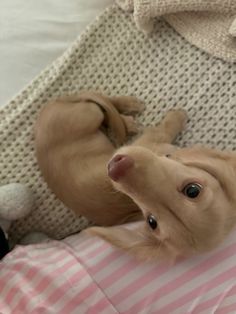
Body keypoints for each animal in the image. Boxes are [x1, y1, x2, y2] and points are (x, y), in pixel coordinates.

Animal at [35, 91, 236, 262]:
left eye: (152, 222)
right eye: (192, 190)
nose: (116, 169)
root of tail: (48, 109)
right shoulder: (150, 140)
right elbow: (165, 128)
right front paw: (177, 116)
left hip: (87, 115)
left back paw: (128, 119)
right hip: (88, 115)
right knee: (98, 101)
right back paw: (129, 108)